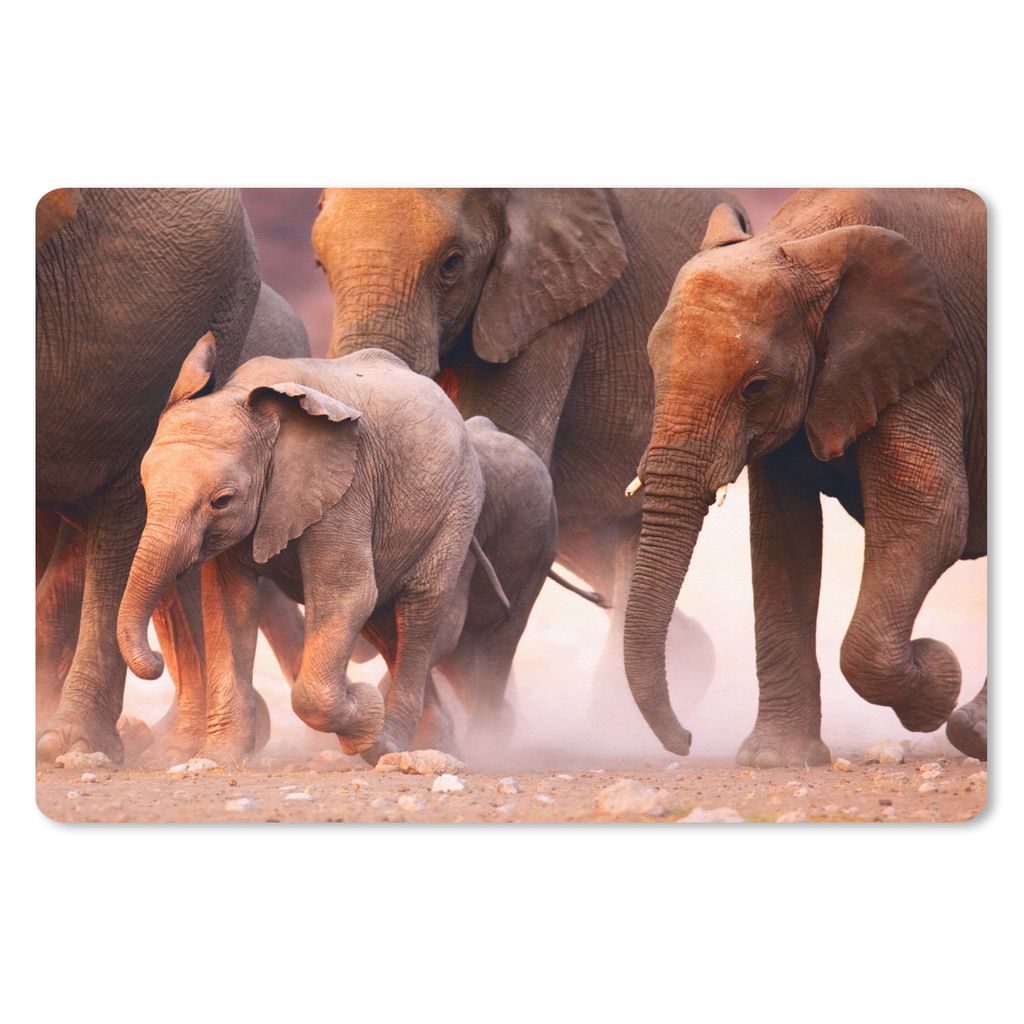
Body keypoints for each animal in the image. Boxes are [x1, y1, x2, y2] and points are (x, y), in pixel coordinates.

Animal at [117, 345, 491, 759]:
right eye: (145, 487)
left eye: (222, 501)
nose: (155, 661)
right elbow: (230, 604)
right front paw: (219, 757)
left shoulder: (346, 488)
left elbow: (346, 596)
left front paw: (364, 710)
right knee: (384, 620)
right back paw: (431, 743)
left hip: (457, 506)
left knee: (419, 610)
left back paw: (388, 743)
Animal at [622, 188, 986, 765]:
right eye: (653, 370)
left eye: (756, 387)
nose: (687, 741)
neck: (806, 241)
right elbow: (782, 539)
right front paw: (776, 760)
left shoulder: (928, 365)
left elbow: (929, 515)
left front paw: (936, 677)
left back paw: (970, 730)